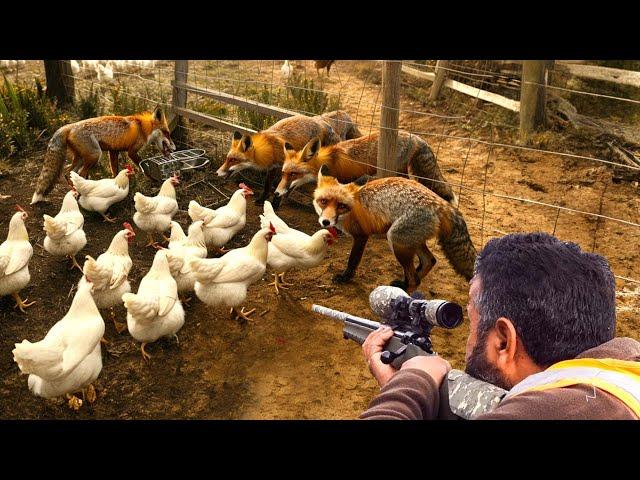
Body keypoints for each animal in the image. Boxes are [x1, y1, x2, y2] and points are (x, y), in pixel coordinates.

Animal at [30, 105, 175, 204]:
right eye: (167, 133)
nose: (174, 148)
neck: (142, 128)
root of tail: (69, 126)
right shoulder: (132, 151)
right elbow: (143, 167)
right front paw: (153, 180)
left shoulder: (114, 151)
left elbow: (115, 171)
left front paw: (117, 188)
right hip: (95, 155)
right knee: (80, 174)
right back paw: (82, 193)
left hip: (81, 158)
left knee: (67, 173)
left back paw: (75, 191)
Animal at [219, 110, 360, 204]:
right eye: (227, 158)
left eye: (233, 160)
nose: (217, 173)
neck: (271, 147)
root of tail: (322, 120)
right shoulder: (273, 168)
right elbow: (267, 185)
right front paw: (262, 199)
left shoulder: (284, 167)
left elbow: (279, 186)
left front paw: (275, 203)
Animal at [276, 130, 460, 207]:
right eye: (283, 174)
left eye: (294, 174)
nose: (276, 193)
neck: (329, 161)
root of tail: (415, 136)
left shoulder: (345, 179)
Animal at [312, 169, 478, 292]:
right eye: (323, 202)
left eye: (341, 206)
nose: (325, 222)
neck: (353, 209)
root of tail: (442, 204)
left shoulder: (361, 235)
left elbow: (353, 260)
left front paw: (345, 278)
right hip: (410, 242)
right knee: (429, 261)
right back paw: (406, 283)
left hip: (396, 240)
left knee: (414, 280)